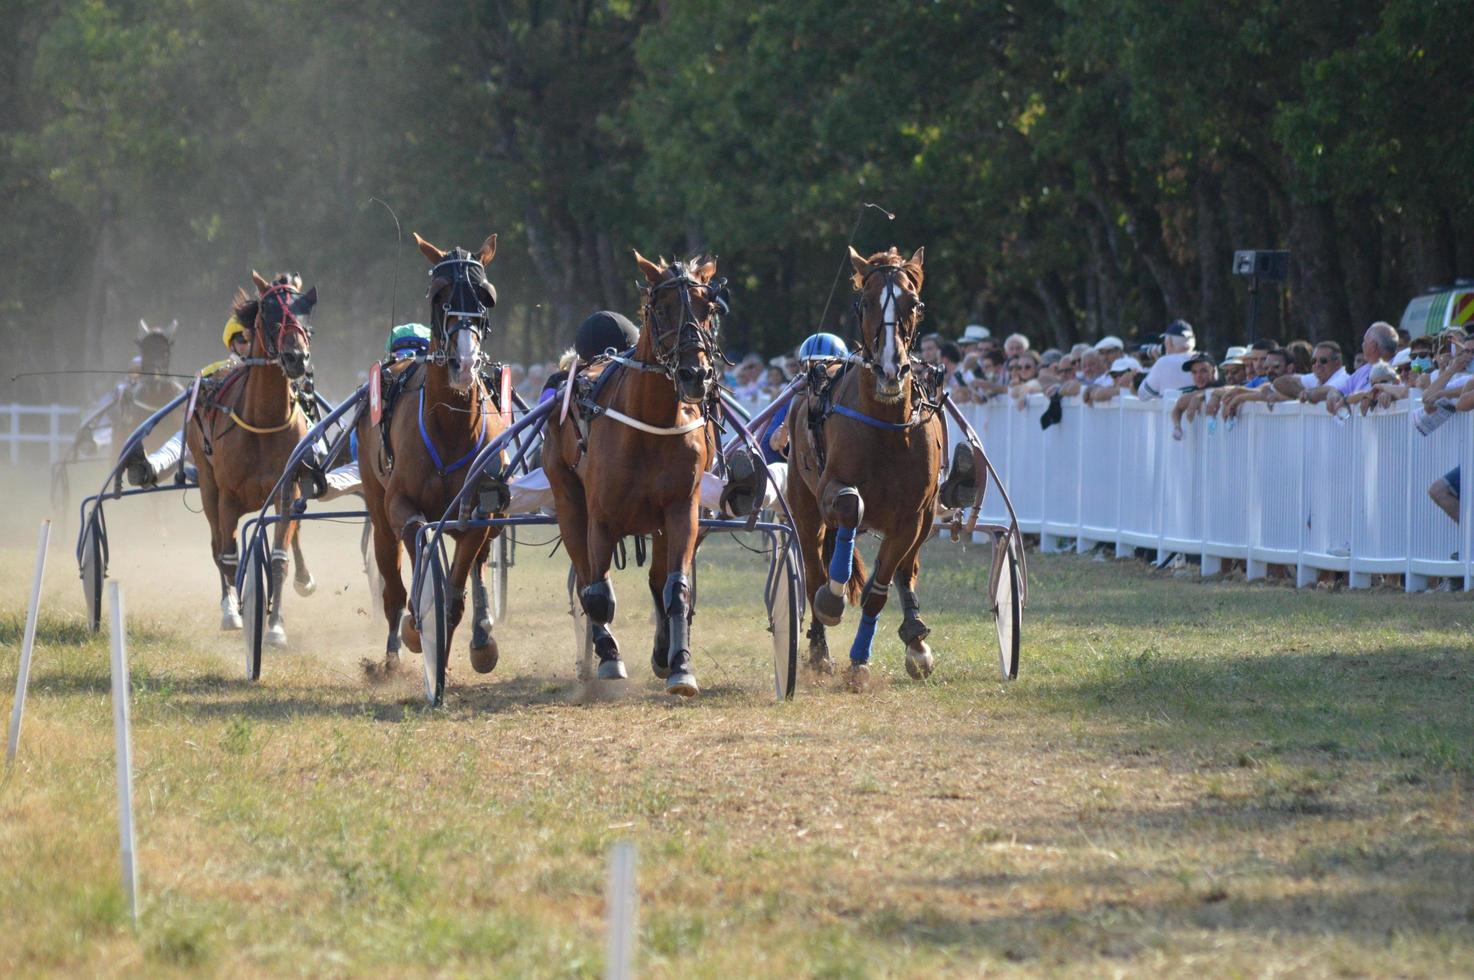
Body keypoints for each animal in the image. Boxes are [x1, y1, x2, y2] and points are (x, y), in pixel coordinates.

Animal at [185, 271, 318, 645]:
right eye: (270, 313)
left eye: (307, 312)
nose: (296, 357)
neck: (263, 421)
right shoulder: (227, 496)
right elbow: (228, 555)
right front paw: (236, 612)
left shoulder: (286, 489)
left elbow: (279, 556)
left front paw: (275, 626)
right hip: (207, 484)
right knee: (216, 543)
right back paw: (229, 606)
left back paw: (304, 579)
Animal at [359, 232, 510, 677]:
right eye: (439, 294)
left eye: (486, 295)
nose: (464, 364)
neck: (451, 428)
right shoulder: (403, 508)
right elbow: (418, 558)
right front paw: (415, 629)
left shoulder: (479, 511)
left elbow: (458, 590)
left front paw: (459, 645)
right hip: (378, 509)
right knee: (391, 579)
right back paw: (392, 653)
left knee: (478, 563)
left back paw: (481, 635)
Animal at [542, 252, 725, 695]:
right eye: (661, 308)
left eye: (708, 308)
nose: (695, 374)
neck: (651, 422)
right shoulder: (601, 516)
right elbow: (597, 592)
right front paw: (609, 656)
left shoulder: (682, 508)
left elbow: (676, 588)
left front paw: (680, 664)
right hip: (567, 499)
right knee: (587, 577)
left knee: (658, 581)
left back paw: (663, 651)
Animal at [790, 244, 937, 686]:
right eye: (866, 301)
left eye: (913, 303)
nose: (892, 369)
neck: (886, 425)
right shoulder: (828, 491)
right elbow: (849, 506)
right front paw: (832, 600)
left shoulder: (911, 518)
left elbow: (879, 589)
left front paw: (860, 661)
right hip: (802, 502)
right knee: (814, 567)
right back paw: (819, 647)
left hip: (927, 517)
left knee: (906, 570)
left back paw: (915, 638)